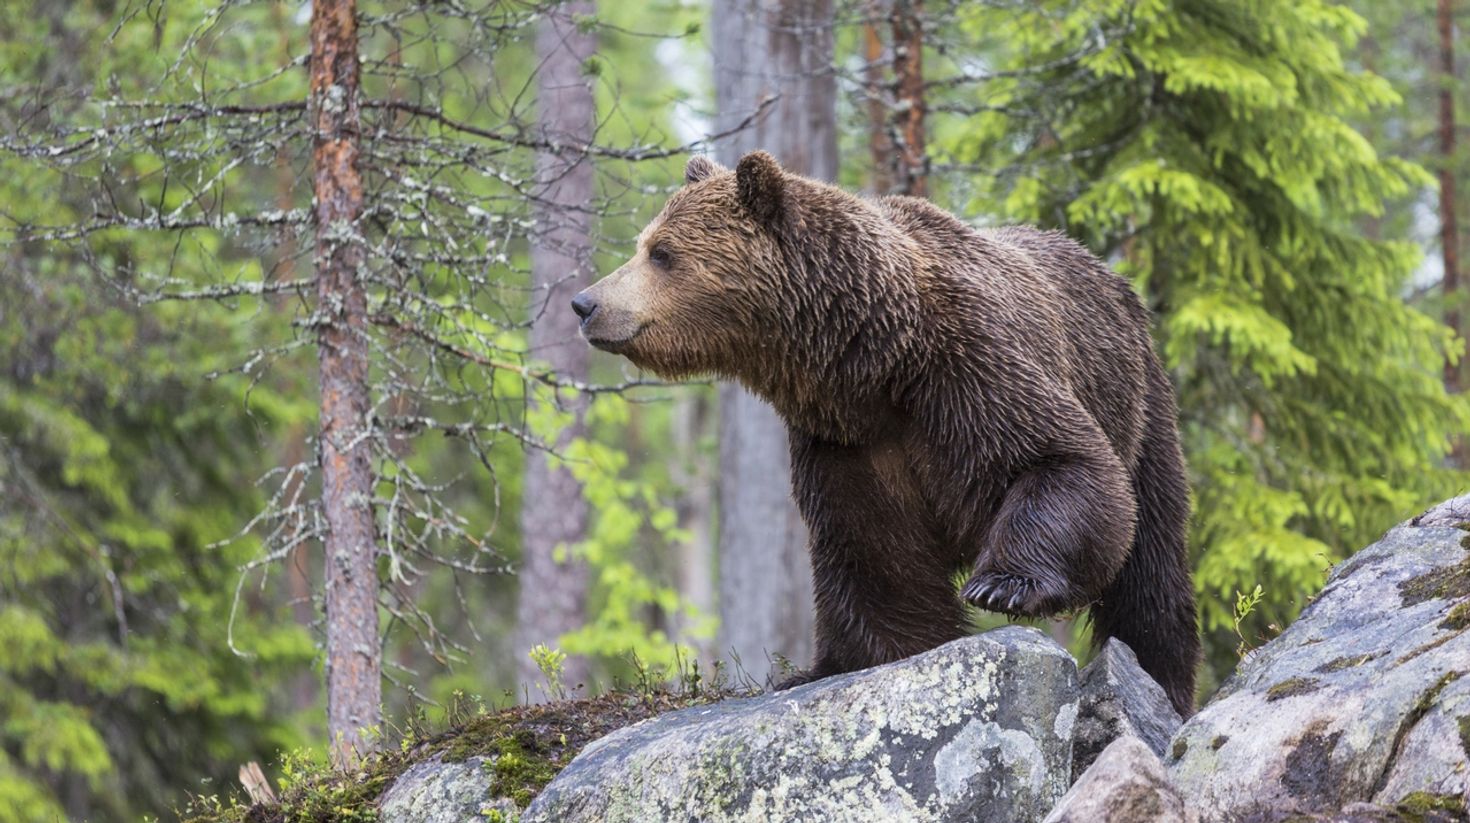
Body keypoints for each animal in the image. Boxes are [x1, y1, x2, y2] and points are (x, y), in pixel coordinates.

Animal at [571, 151, 1200, 715]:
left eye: (662, 253)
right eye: (643, 244)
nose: (584, 303)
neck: (877, 359)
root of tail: (1110, 273)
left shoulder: (969, 369)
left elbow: (1058, 458)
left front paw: (1001, 586)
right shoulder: (847, 441)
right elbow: (873, 551)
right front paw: (854, 659)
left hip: (1140, 403)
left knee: (1152, 568)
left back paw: (1162, 680)